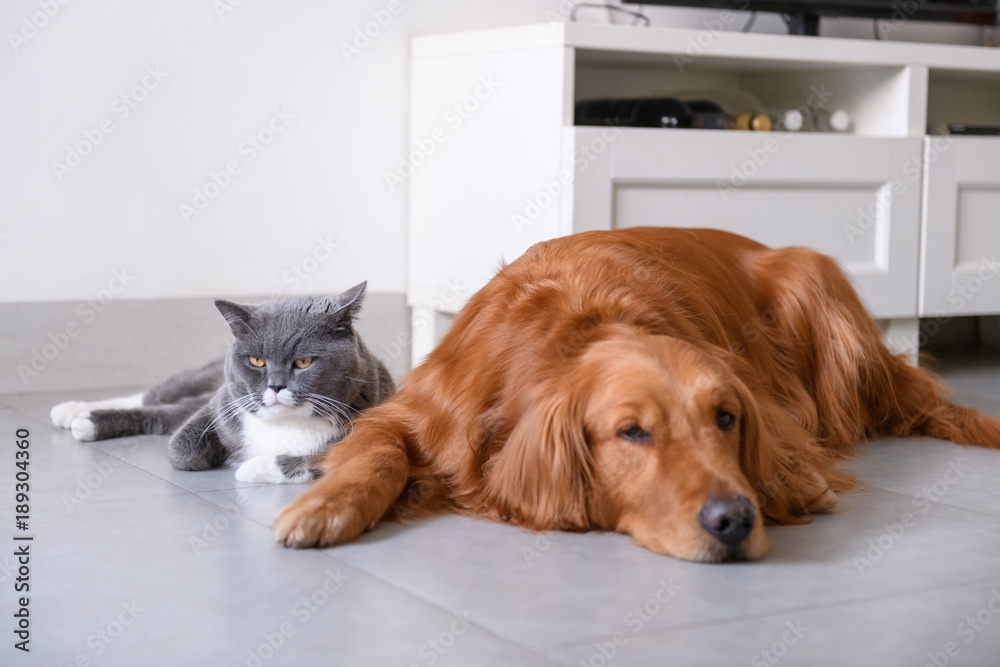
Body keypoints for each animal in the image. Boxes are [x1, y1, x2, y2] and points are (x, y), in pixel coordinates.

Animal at [51, 284, 394, 486]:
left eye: (303, 362)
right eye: (257, 361)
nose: (275, 386)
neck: (286, 423)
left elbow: (318, 459)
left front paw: (251, 467)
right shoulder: (221, 404)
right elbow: (181, 450)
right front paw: (218, 457)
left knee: (166, 413)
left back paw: (82, 420)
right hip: (203, 381)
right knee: (154, 400)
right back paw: (73, 412)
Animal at [274, 227, 1000, 560]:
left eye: (726, 419)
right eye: (633, 432)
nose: (734, 519)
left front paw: (796, 483)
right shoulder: (413, 411)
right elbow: (378, 454)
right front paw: (324, 507)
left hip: (814, 280)